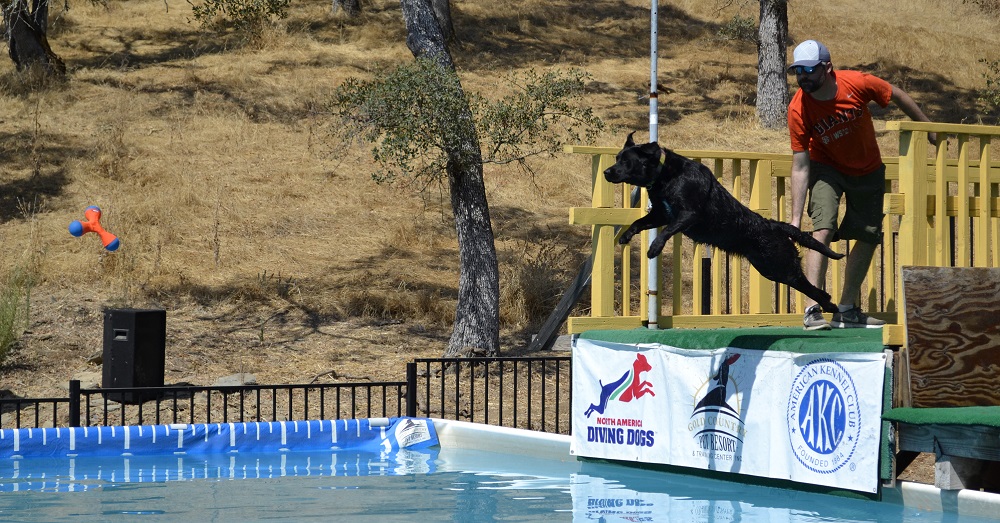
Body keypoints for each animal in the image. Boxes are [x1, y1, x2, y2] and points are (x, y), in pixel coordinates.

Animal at [600, 133, 844, 314]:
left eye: (626, 161)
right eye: (617, 158)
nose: (606, 172)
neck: (666, 176)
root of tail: (774, 224)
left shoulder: (688, 214)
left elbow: (666, 231)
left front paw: (654, 248)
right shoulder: (661, 214)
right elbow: (638, 222)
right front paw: (625, 236)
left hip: (782, 266)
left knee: (815, 290)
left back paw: (831, 308)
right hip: (771, 270)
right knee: (816, 291)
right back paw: (830, 308)